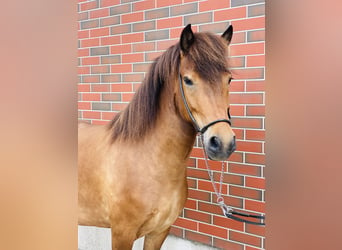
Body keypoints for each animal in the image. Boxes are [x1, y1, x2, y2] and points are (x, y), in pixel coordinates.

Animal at [79, 23, 236, 250]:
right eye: (188, 80)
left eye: (229, 79)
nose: (222, 143)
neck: (146, 160)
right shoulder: (121, 234)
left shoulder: (159, 231)